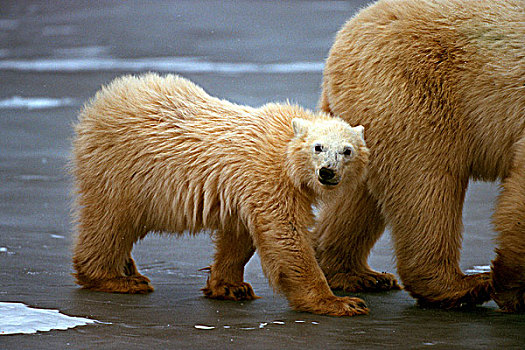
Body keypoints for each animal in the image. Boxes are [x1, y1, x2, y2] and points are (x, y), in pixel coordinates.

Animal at [71, 72, 370, 316]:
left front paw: (229, 286)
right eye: (318, 147)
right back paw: (118, 278)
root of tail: (103, 100)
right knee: (110, 221)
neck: (283, 148)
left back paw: (127, 269)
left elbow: (240, 234)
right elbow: (286, 235)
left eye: (347, 151)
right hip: (122, 168)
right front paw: (341, 302)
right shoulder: (269, 178)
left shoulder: (246, 189)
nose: (327, 172)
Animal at [316, 0, 524, 312]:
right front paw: (512, 289)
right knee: (426, 184)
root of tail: (349, 29)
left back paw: (355, 273)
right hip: (418, 93)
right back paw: (463, 286)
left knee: (357, 193)